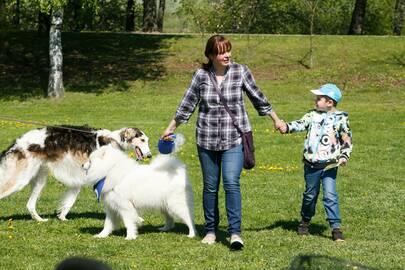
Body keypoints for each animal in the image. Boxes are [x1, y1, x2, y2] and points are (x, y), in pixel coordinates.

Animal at [0, 125, 151, 221]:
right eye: (142, 140)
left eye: (147, 140)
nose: (149, 155)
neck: (113, 141)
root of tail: (17, 143)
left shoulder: (80, 178)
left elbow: (69, 201)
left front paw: (62, 217)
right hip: (20, 180)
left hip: (40, 178)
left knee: (30, 205)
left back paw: (40, 219)